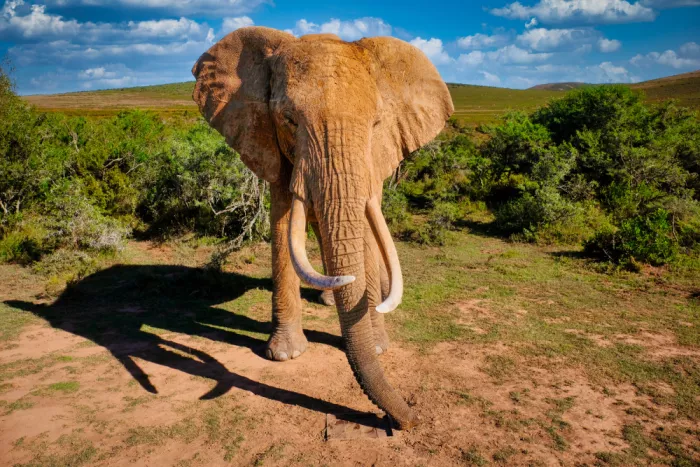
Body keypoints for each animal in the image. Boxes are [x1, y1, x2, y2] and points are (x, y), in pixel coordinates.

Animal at [191, 26, 453, 430]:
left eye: (376, 124)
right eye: (288, 120)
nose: (411, 419)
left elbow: (365, 230)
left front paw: (378, 345)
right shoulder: (271, 144)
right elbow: (283, 223)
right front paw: (284, 356)